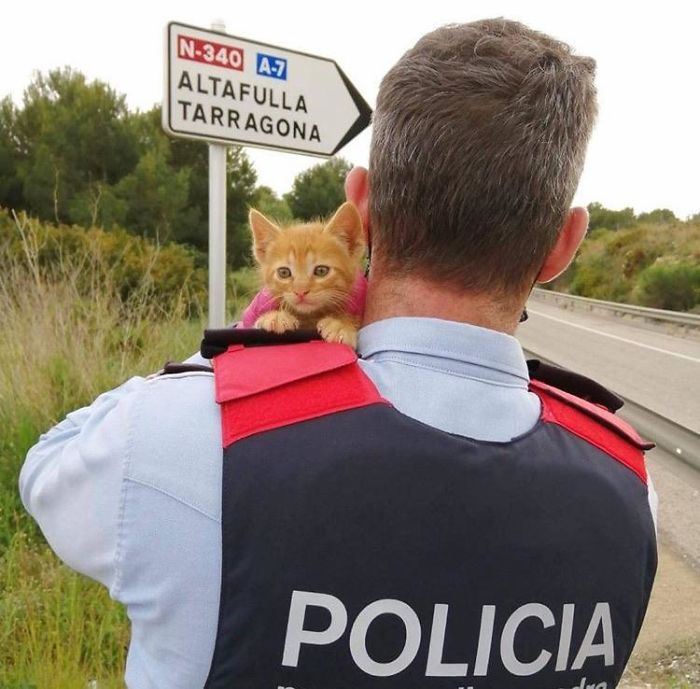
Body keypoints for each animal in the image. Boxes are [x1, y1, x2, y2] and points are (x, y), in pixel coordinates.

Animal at [247, 202, 366, 346]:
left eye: (321, 271)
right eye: (284, 272)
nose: (300, 292)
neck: (310, 317)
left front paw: (341, 326)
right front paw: (276, 317)